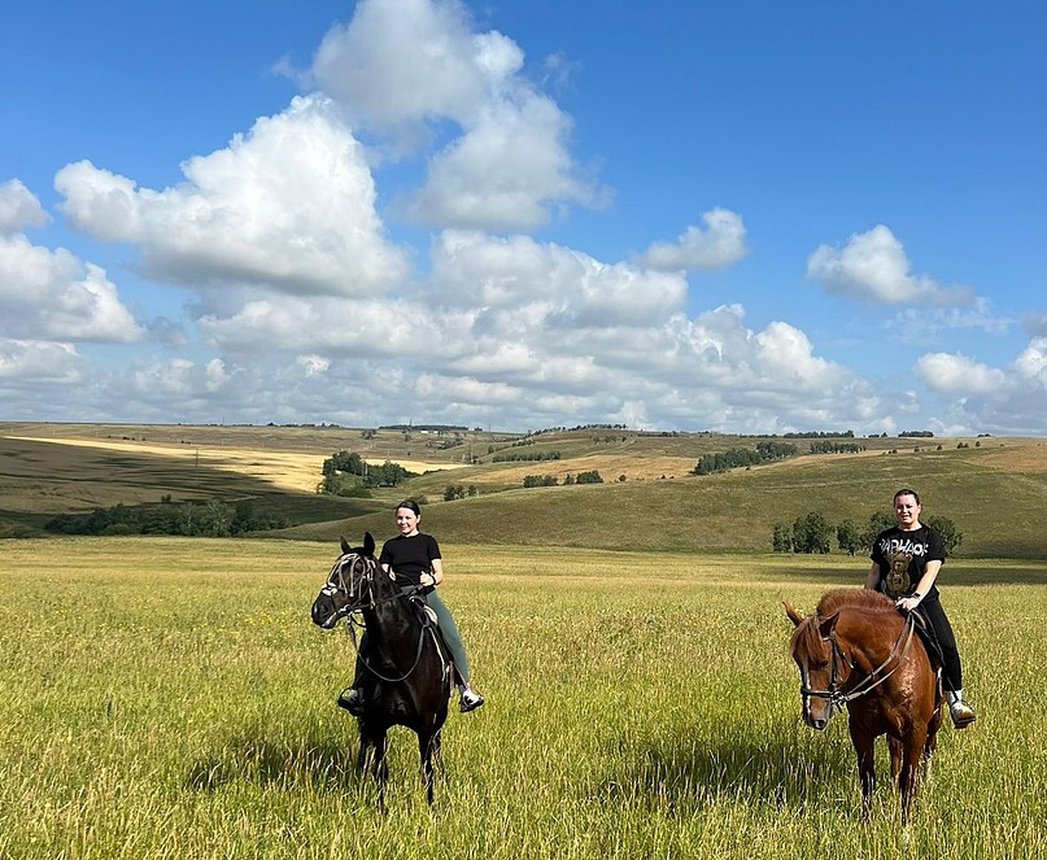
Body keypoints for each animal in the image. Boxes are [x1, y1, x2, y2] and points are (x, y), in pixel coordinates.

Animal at [307, 530, 452, 804]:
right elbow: (381, 772)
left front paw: (432, 806)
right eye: (334, 568)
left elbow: (427, 771)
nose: (320, 610)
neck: (396, 661)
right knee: (365, 749)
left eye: (357, 570)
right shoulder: (379, 722)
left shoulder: (426, 724)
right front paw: (381, 809)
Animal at [783, 586, 946, 821]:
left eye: (823, 662)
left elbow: (909, 779)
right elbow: (867, 778)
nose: (812, 716)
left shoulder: (915, 730)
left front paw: (905, 826)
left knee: (929, 748)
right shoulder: (860, 730)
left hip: (935, 718)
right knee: (895, 754)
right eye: (797, 660)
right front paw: (866, 823)